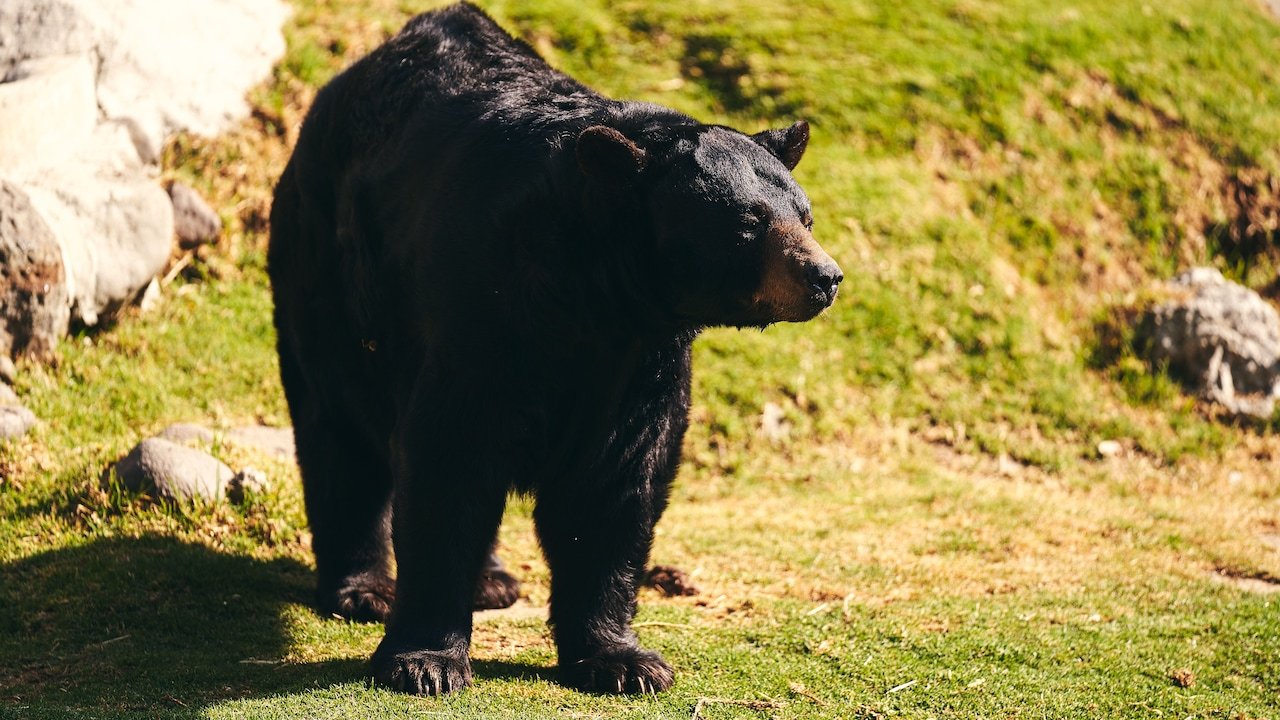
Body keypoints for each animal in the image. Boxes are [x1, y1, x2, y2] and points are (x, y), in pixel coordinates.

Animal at [267, 1, 841, 696]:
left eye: (804, 215)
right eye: (748, 224)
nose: (825, 276)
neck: (593, 295)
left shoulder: (639, 362)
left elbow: (616, 485)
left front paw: (623, 659)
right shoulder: (486, 313)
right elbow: (450, 458)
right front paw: (424, 661)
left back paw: (491, 580)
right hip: (330, 271)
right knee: (339, 425)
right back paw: (365, 588)